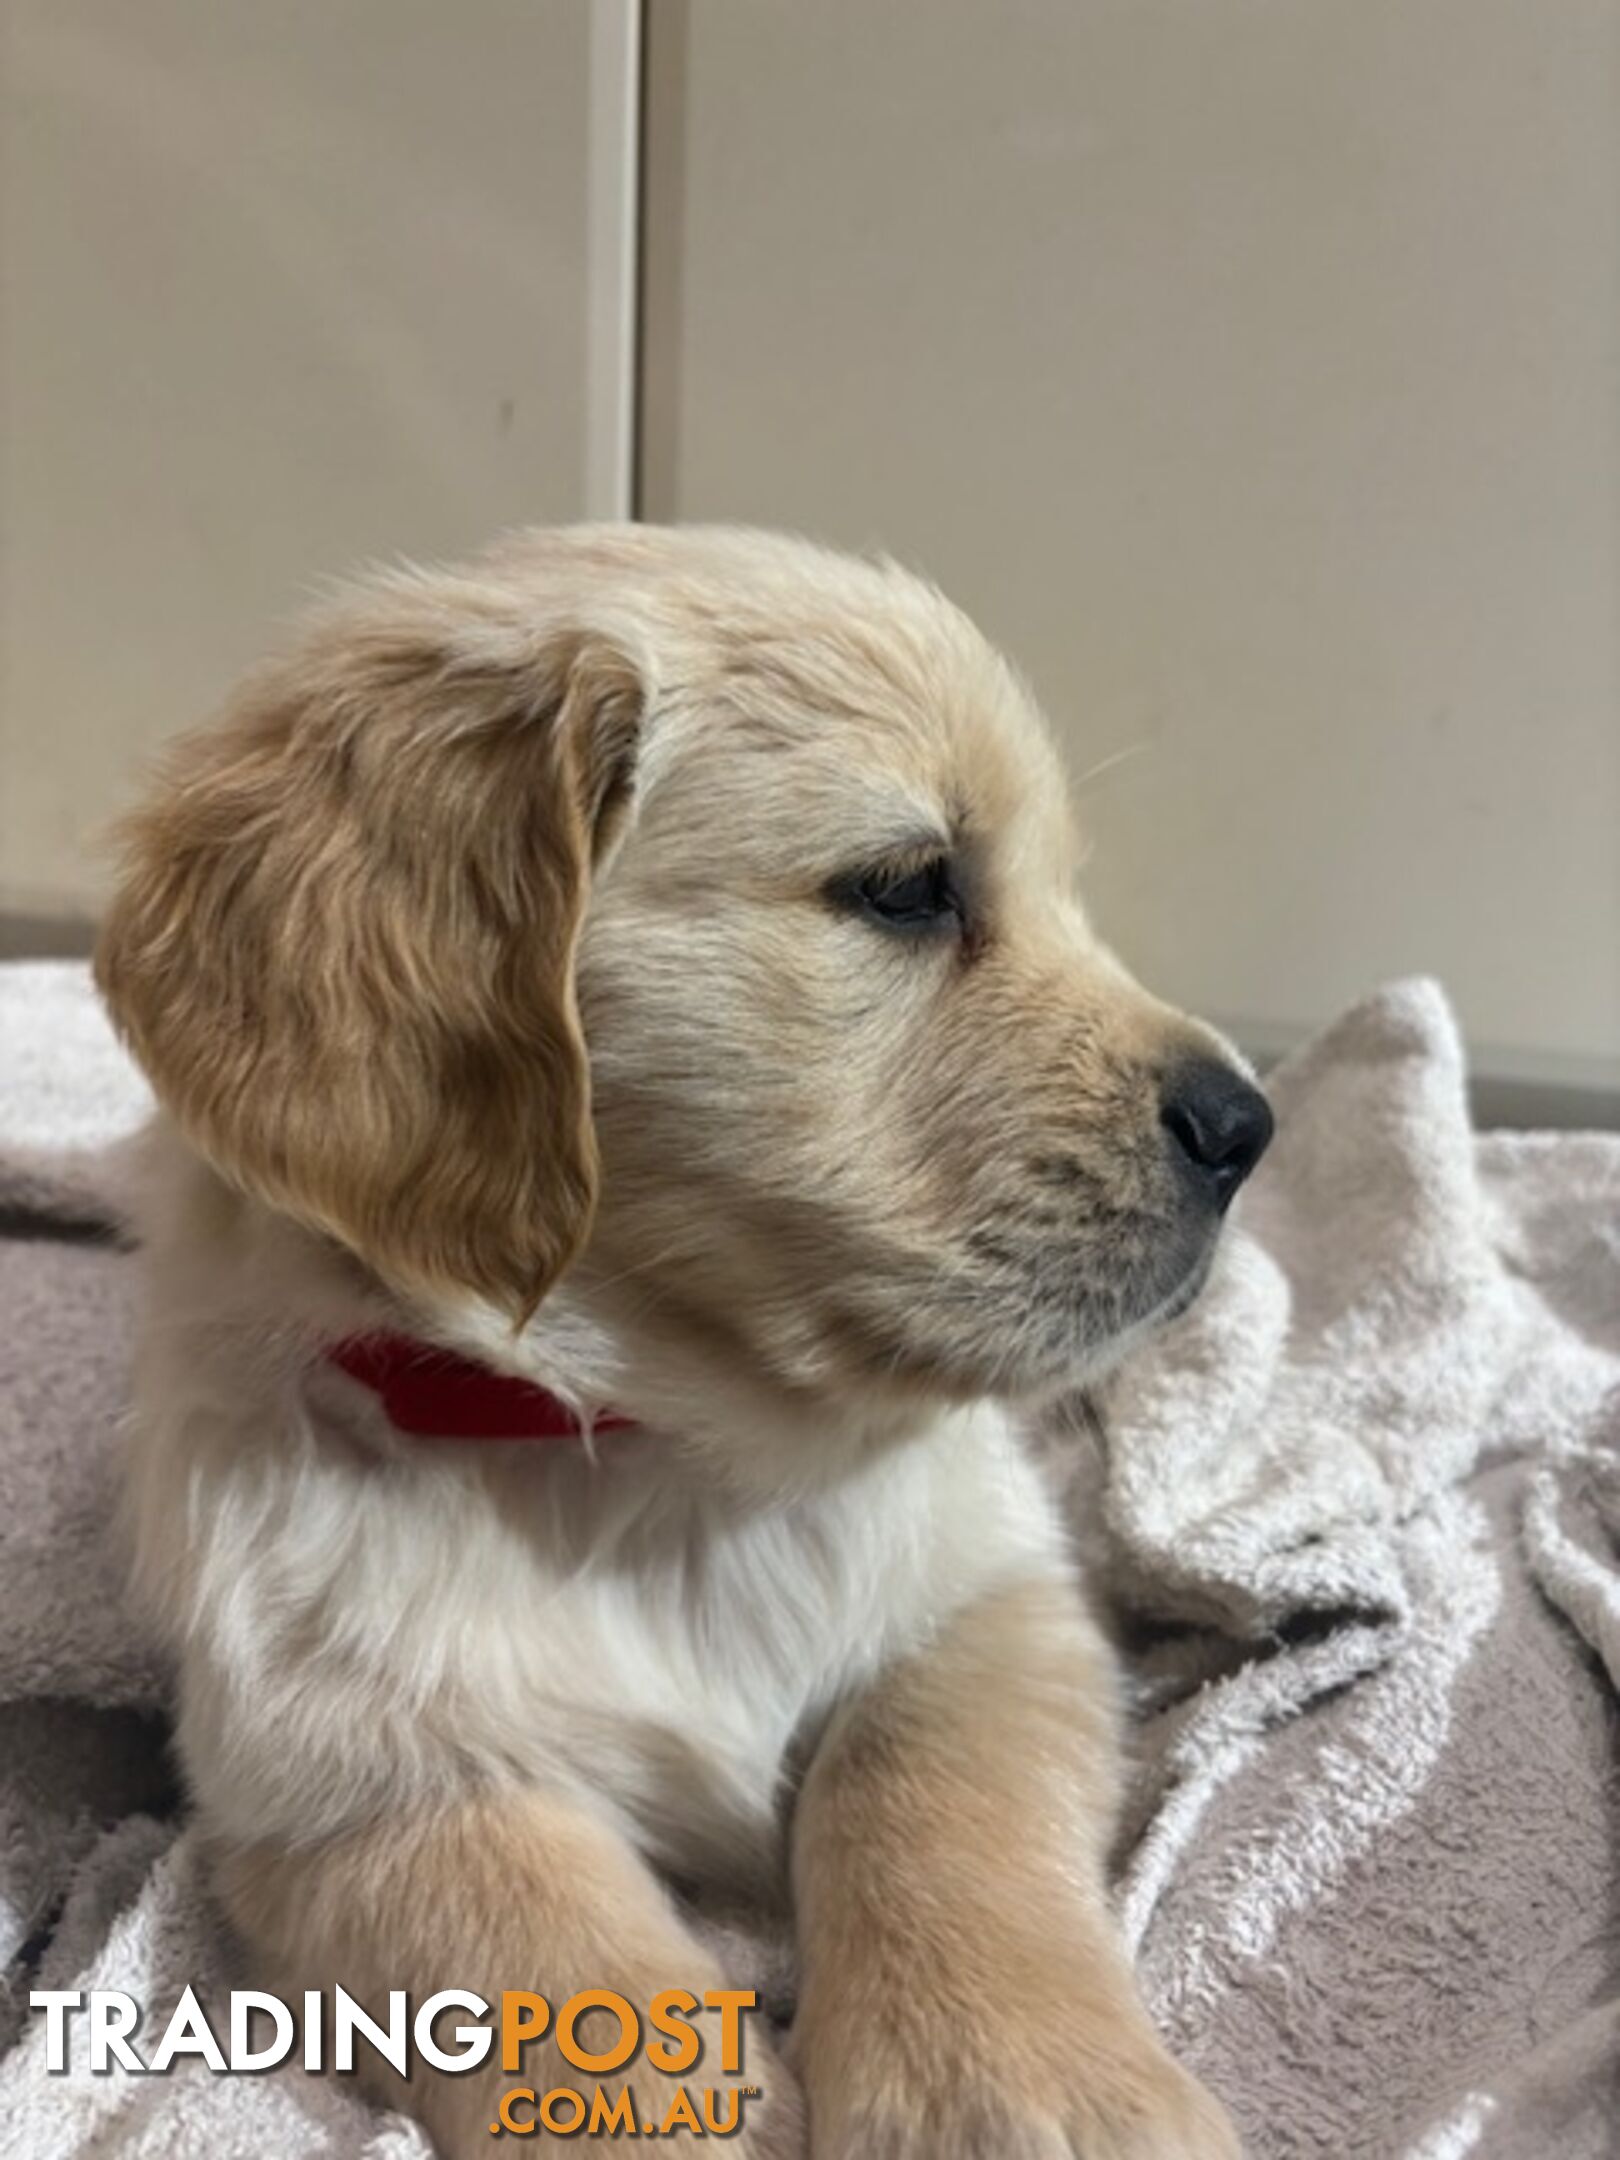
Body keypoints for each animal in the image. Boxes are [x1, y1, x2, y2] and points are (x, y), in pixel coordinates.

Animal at [98, 527, 1270, 2160]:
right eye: (908, 889)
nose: (1248, 1125)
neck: (649, 1450)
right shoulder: (354, 1784)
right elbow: (555, 1969)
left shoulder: (987, 1604)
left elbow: (932, 1800)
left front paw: (1014, 2083)